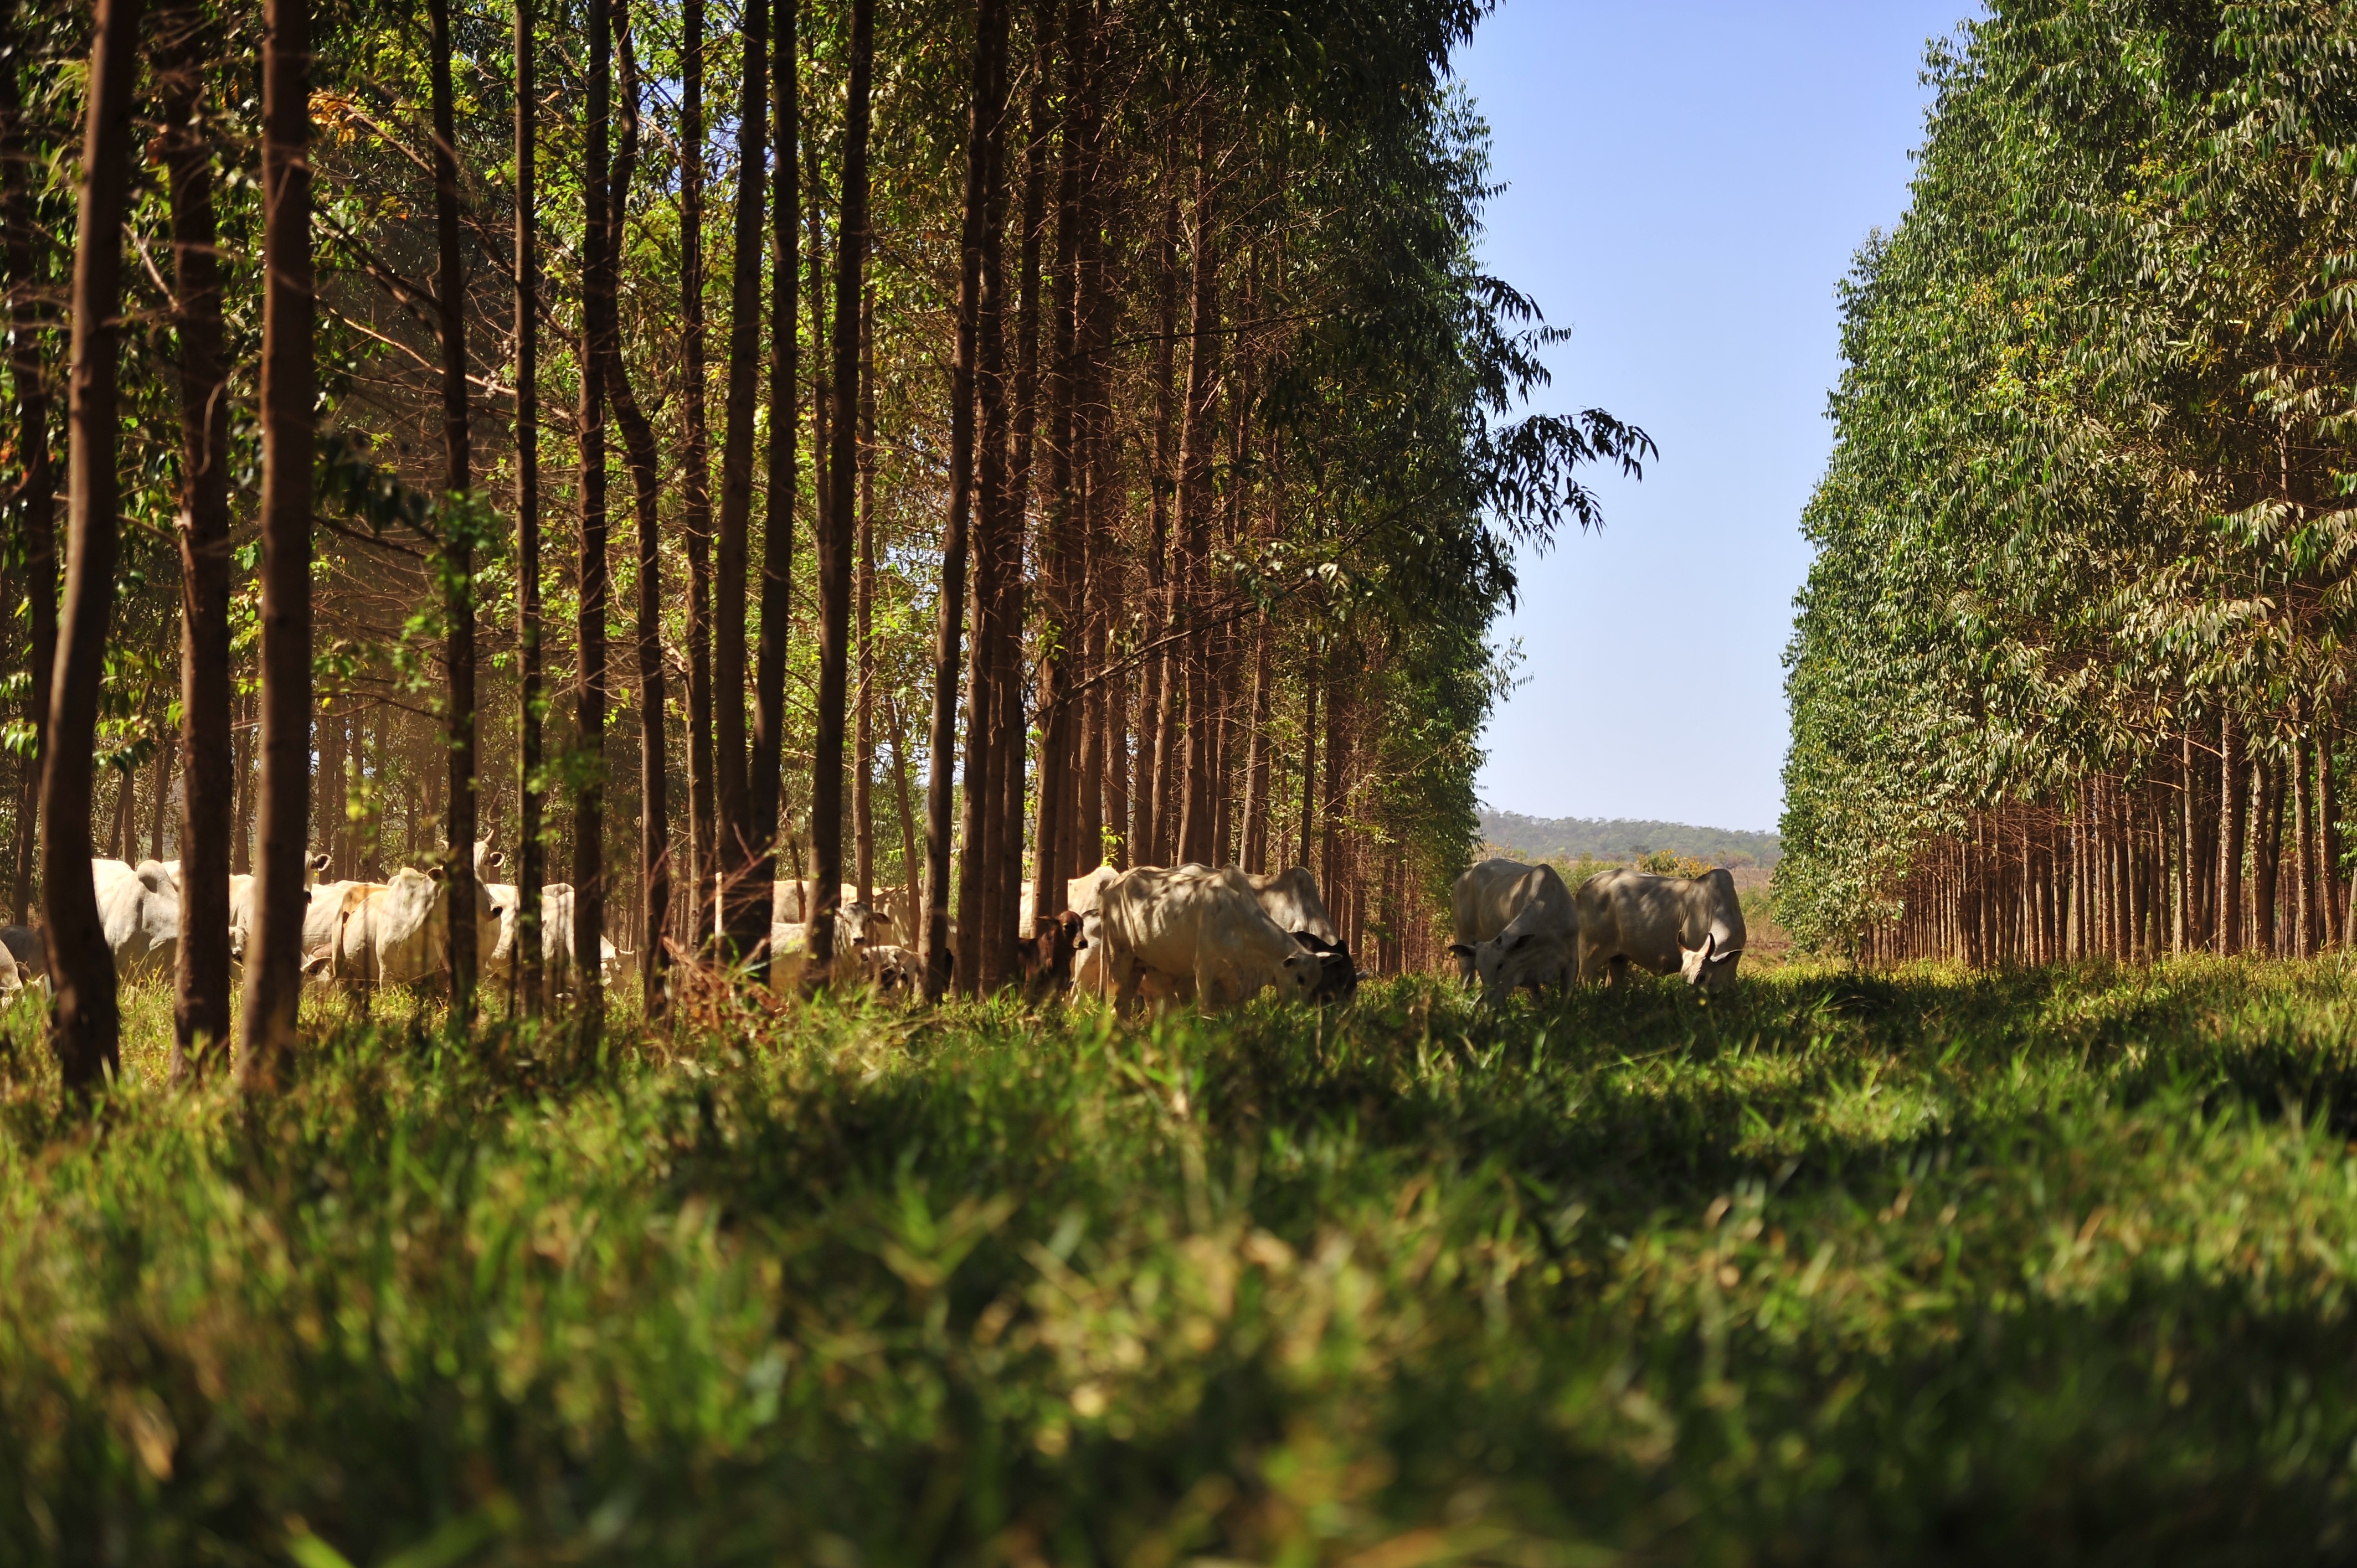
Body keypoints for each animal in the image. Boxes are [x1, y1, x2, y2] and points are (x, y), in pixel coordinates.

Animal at [1089, 858, 1320, 1014]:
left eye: (1315, 980)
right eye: (1300, 978)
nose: (1302, 1011)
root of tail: (1111, 887)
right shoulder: (1204, 970)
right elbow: (1205, 1011)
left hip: (1141, 965)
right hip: (1118, 957)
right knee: (1117, 1004)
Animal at [1574, 863, 1744, 995]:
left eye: (1702, 977)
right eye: (1685, 978)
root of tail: (1588, 883)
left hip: (1618, 958)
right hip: (1589, 951)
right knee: (1584, 981)